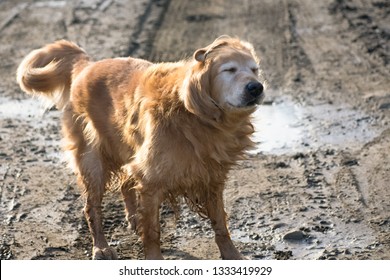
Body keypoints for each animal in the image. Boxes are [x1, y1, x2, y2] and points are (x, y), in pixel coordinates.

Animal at [16, 35, 264, 260]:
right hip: (92, 161)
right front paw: (153, 257)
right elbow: (153, 232)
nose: (256, 88)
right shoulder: (152, 180)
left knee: (126, 185)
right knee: (91, 208)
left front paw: (232, 255)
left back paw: (134, 219)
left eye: (254, 70)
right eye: (229, 70)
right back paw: (101, 247)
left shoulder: (211, 177)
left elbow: (220, 224)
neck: (194, 114)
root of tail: (86, 65)